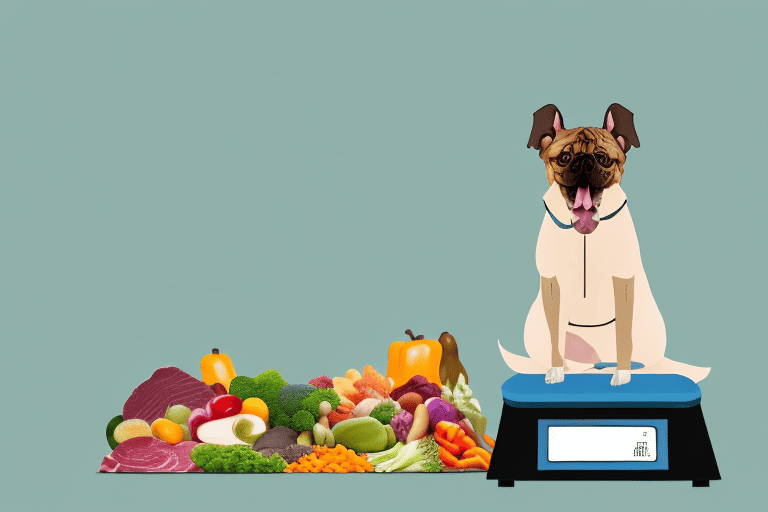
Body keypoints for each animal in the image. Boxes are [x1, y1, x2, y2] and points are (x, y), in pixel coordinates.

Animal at [496, 103, 712, 384]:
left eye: (603, 158)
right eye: (564, 158)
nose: (584, 162)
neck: (585, 236)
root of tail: (594, 359)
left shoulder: (622, 280)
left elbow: (623, 335)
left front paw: (622, 374)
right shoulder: (552, 285)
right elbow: (556, 336)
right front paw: (555, 370)